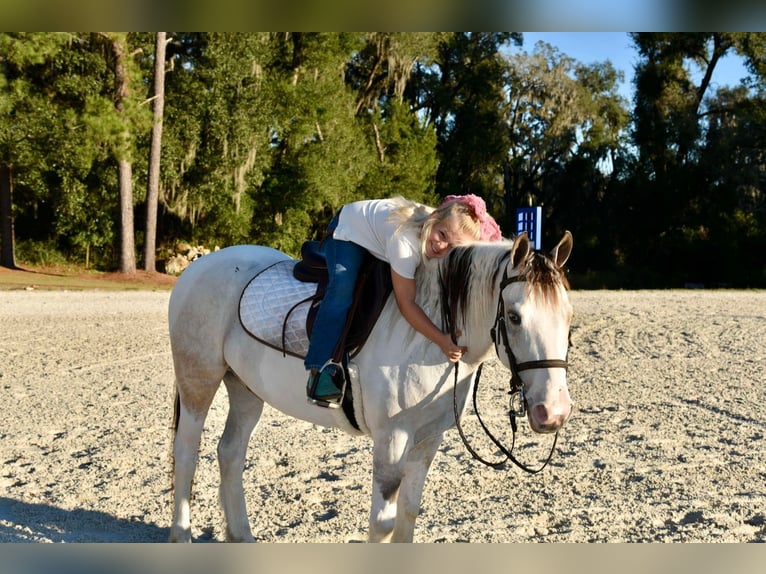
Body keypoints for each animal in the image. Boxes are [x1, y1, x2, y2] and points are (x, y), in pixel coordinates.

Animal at [167, 231, 574, 543]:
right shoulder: (392, 439)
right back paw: (181, 536)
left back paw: (241, 535)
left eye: (568, 316)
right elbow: (383, 523)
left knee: (230, 452)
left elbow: (409, 511)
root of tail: (199, 266)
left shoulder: (428, 438)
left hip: (246, 390)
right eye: (514, 317)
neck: (430, 332)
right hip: (198, 381)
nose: (553, 411)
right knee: (186, 455)